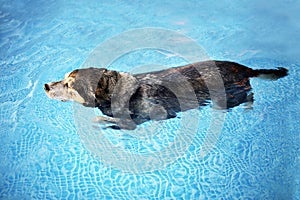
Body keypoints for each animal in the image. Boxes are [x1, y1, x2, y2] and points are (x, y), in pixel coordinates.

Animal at [44, 60, 288, 130]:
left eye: (69, 85)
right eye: (63, 79)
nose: (46, 85)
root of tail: (244, 68)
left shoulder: (149, 115)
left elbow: (114, 121)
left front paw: (99, 121)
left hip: (227, 98)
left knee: (249, 95)